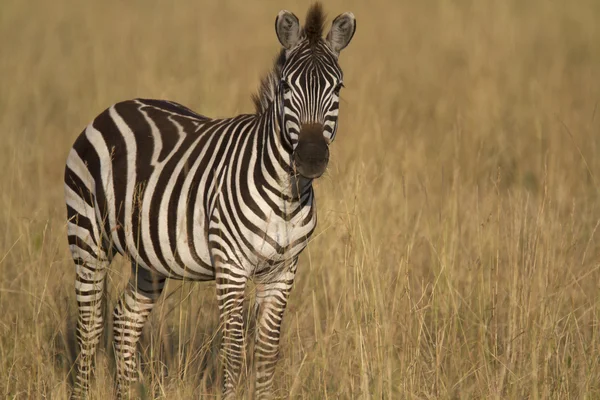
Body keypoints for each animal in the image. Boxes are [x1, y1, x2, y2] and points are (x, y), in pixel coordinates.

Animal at [64, 3, 356, 400]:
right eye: (286, 86)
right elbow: (232, 352)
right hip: (88, 237)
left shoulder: (283, 271)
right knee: (90, 326)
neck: (287, 194)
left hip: (148, 256)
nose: (310, 158)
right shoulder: (231, 267)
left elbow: (266, 353)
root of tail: (113, 108)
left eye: (337, 87)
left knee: (125, 318)